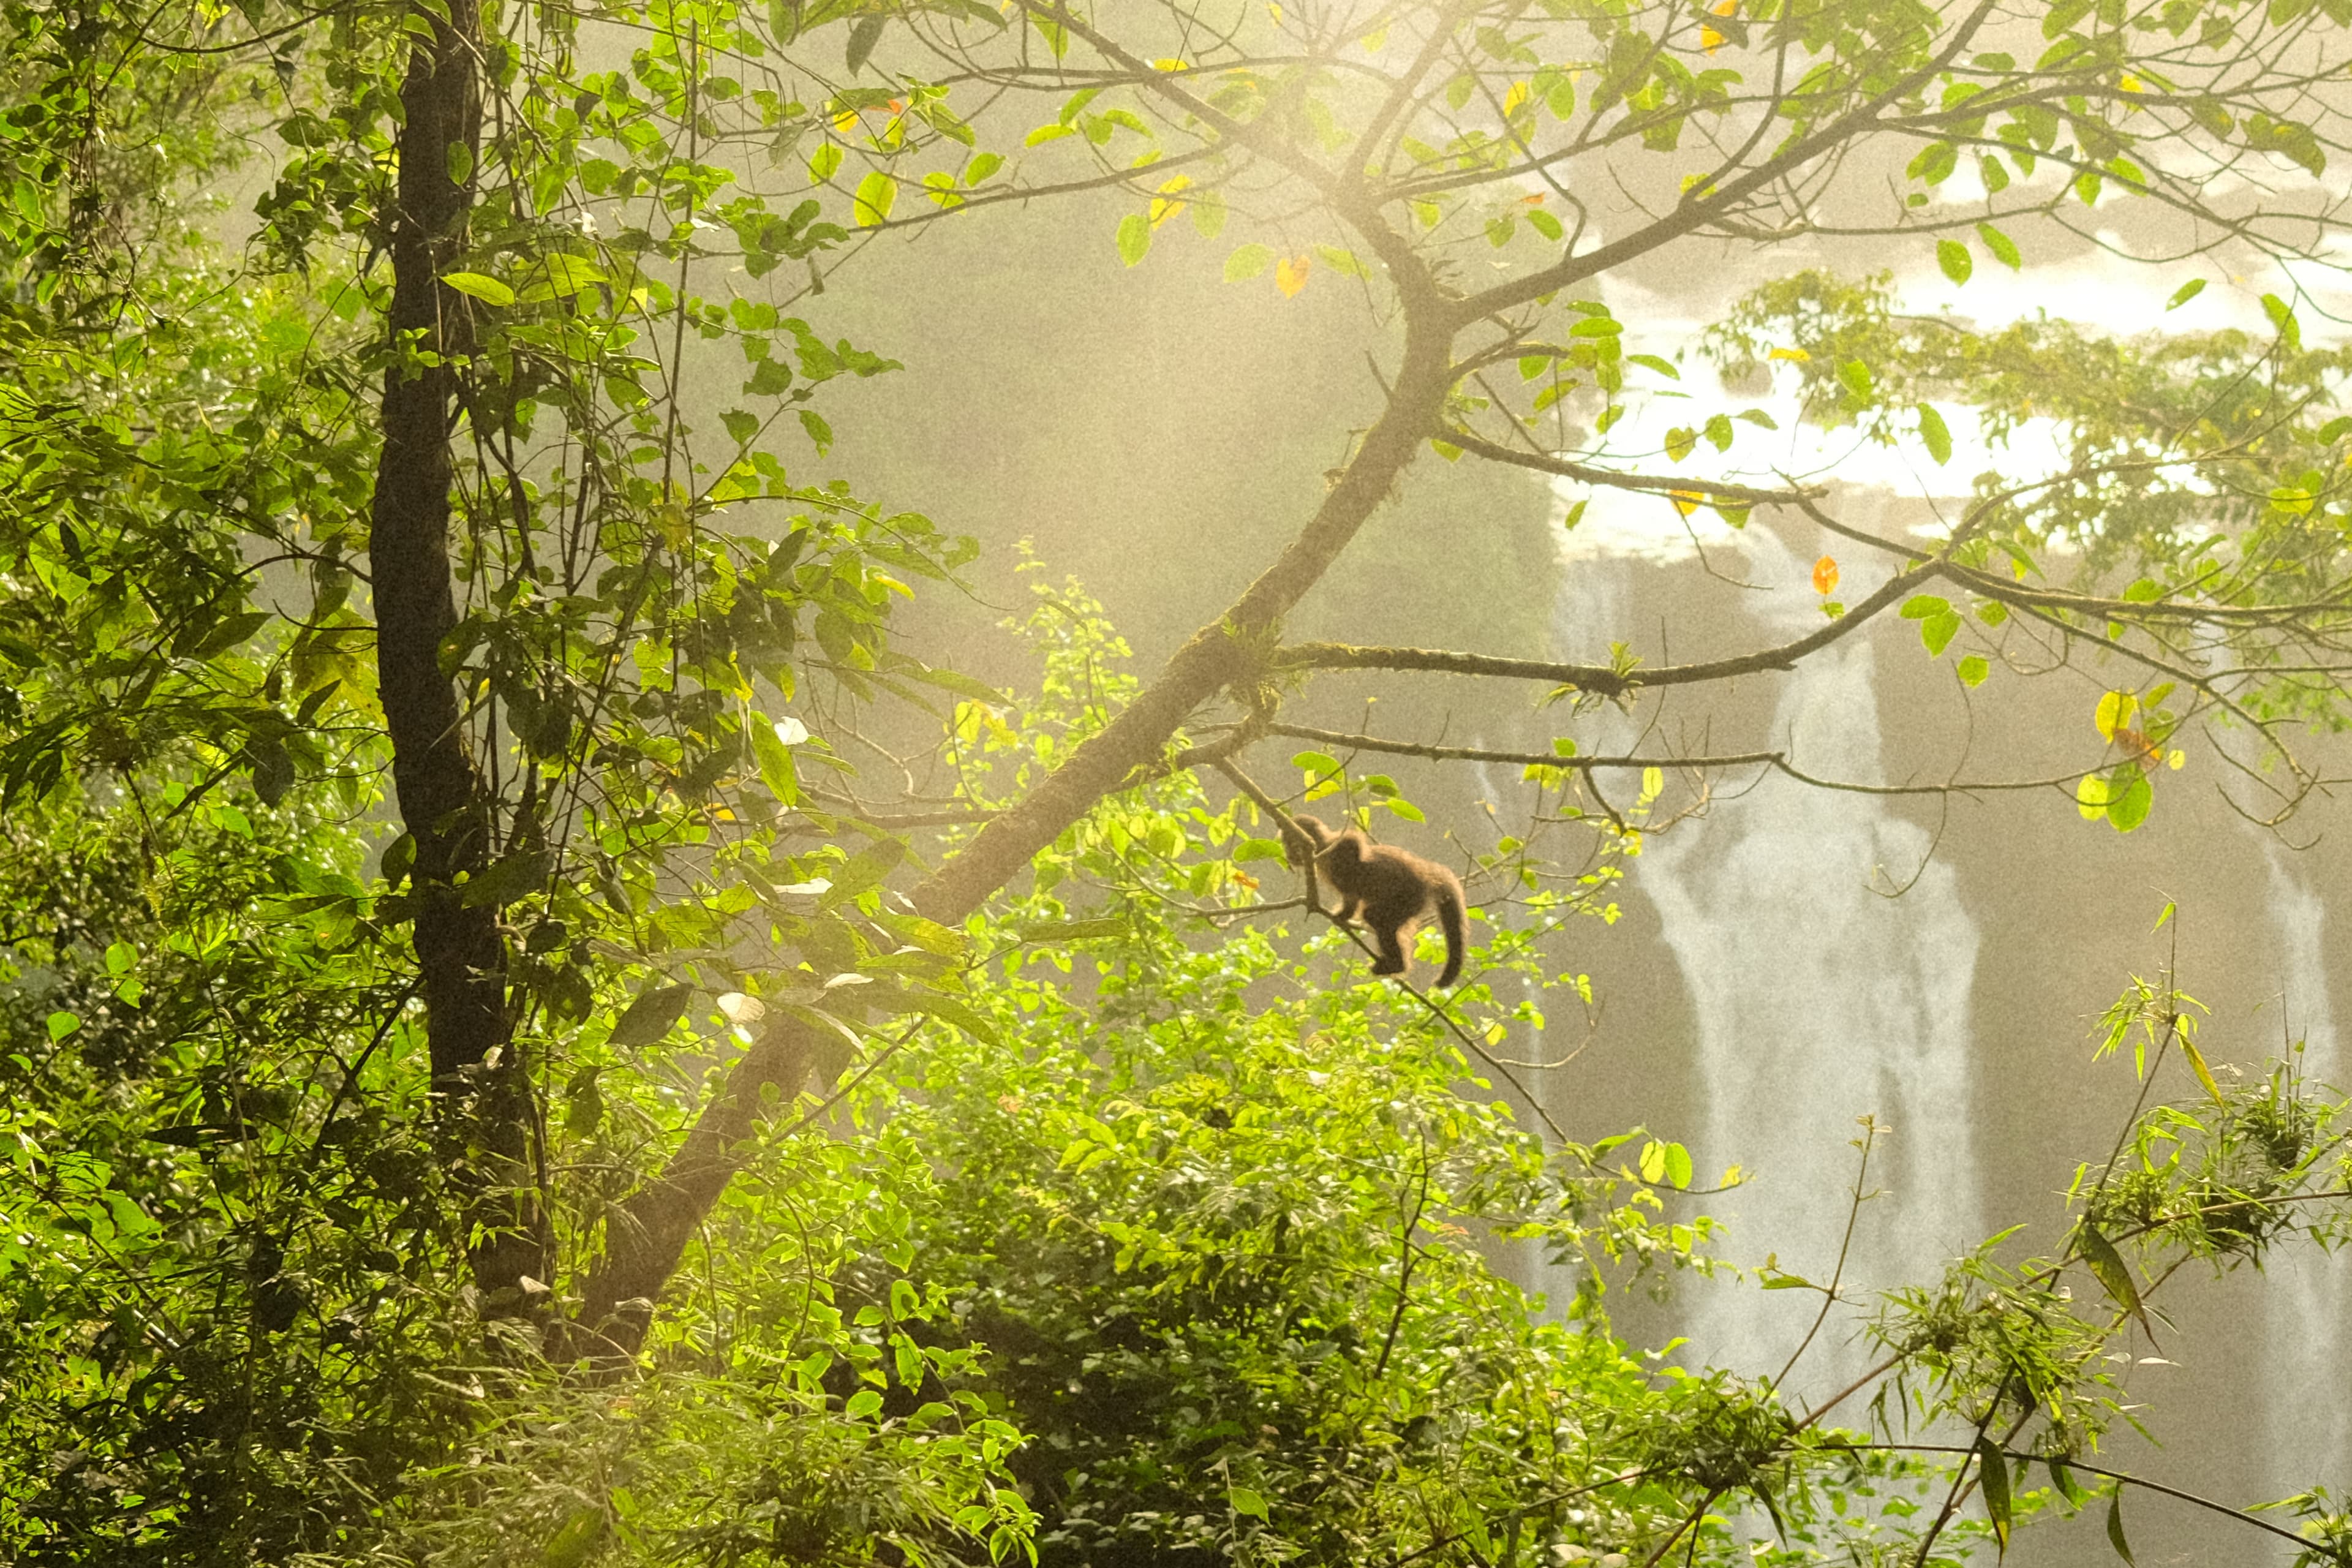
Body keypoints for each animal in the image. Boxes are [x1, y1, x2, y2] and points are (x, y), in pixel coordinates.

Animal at [1285, 815, 1467, 988]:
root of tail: (1426, 875)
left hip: (1411, 898)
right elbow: (1351, 897)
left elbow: (1353, 843)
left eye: (1290, 844)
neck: (1321, 853)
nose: (1288, 856)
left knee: (1374, 917)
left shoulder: (1333, 846)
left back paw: (1396, 965)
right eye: (1285, 845)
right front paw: (1343, 916)